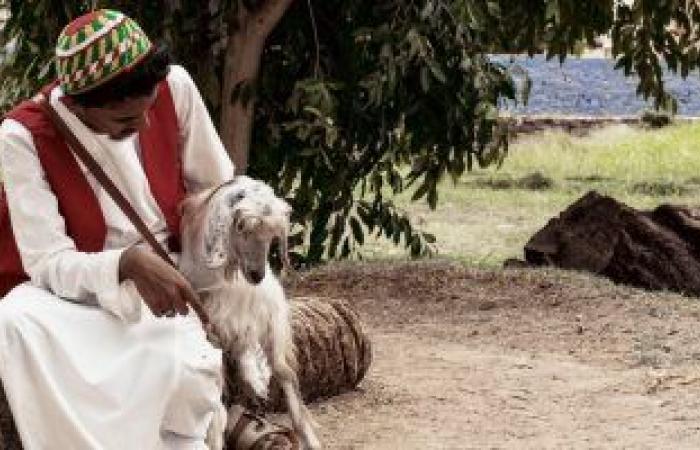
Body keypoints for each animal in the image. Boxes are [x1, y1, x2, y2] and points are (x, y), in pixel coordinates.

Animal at [180, 176, 322, 450]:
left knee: (288, 380)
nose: (258, 275)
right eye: (242, 227)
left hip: (272, 329)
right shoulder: (211, 323)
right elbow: (216, 405)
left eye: (271, 237)